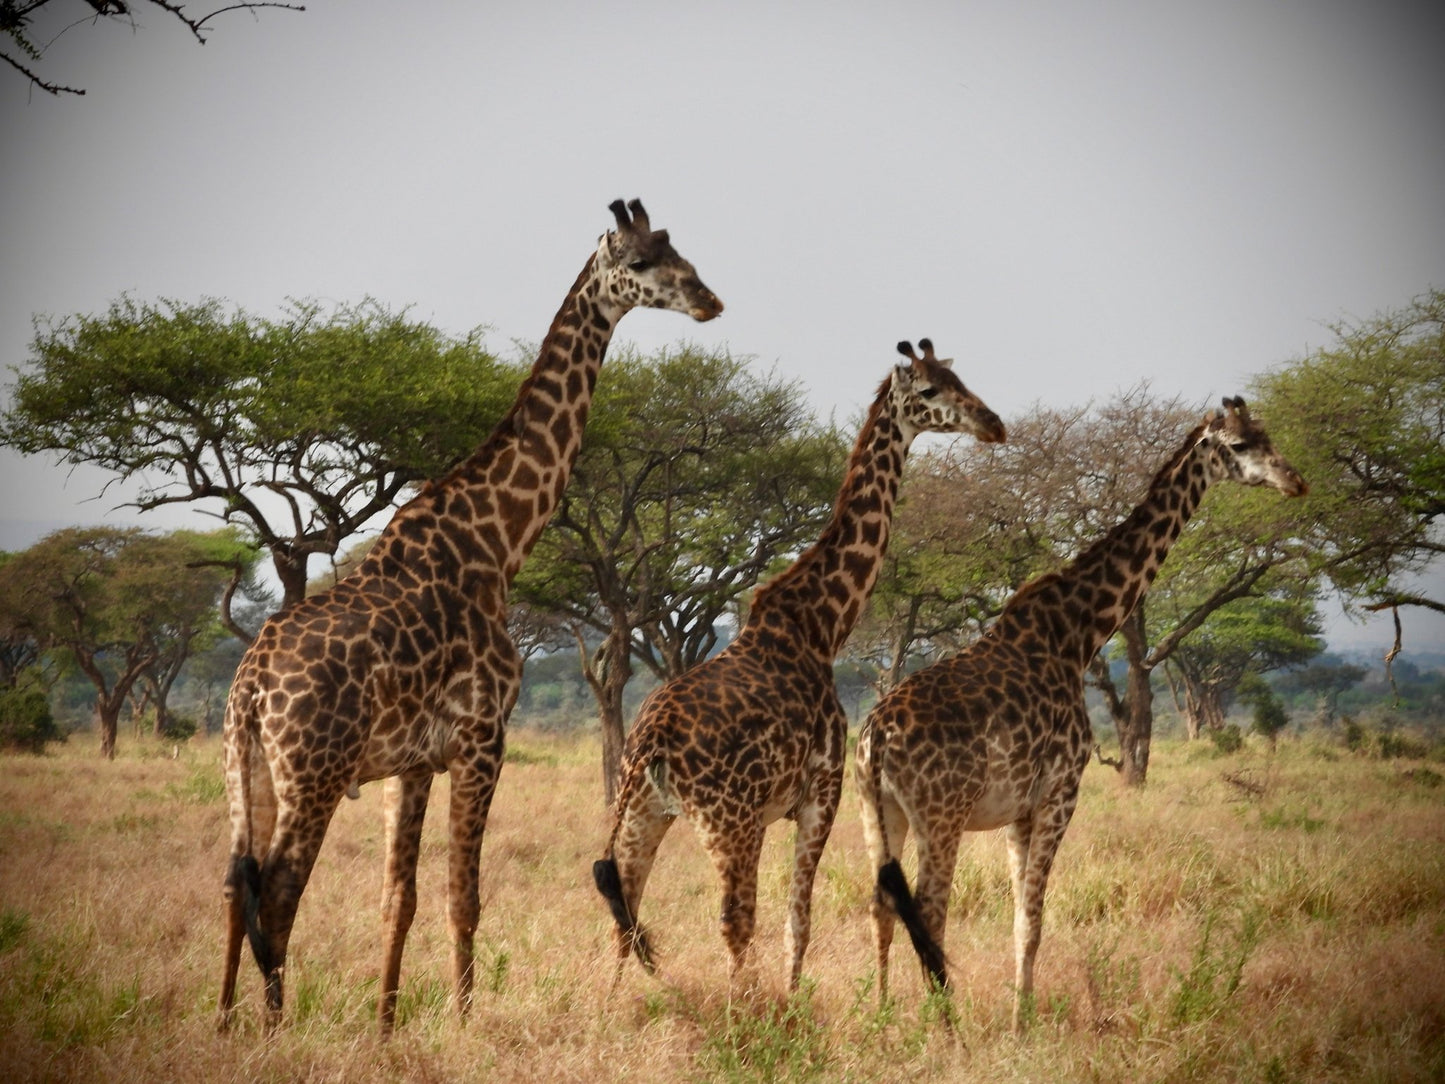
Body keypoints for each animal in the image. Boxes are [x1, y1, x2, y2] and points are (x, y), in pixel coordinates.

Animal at [216, 198, 722, 1034]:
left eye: (678, 251)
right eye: (644, 262)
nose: (709, 301)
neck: (498, 539)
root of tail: (252, 686)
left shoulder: (413, 762)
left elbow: (399, 898)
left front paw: (386, 1026)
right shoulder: (485, 737)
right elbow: (465, 896)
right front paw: (461, 1022)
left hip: (247, 770)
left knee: (235, 884)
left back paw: (226, 1024)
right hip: (313, 774)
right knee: (278, 891)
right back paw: (273, 1030)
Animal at [592, 343, 1011, 1000]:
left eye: (959, 377)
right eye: (932, 390)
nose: (993, 423)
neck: (823, 622)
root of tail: (648, 742)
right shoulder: (822, 790)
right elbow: (800, 919)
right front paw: (791, 1002)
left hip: (643, 812)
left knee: (625, 906)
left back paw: (617, 1007)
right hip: (729, 823)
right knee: (734, 918)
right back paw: (743, 1009)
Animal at [855, 396, 1312, 1029]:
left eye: (1266, 434)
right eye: (1241, 445)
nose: (1295, 482)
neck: (1079, 631)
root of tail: (874, 738)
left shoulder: (1019, 810)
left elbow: (1019, 916)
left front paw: (1016, 1017)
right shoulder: (1060, 792)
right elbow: (1032, 922)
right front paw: (1021, 1028)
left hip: (879, 813)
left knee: (881, 908)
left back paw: (879, 1018)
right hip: (941, 816)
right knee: (930, 914)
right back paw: (946, 1030)